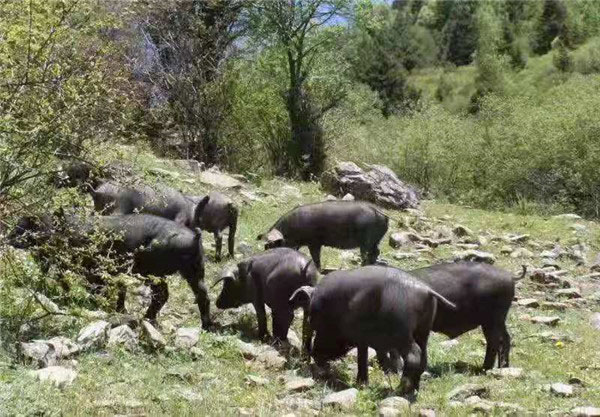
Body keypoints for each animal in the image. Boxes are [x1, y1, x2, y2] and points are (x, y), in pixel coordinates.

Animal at [7, 214, 211, 328]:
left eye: (21, 226)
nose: (7, 237)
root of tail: (194, 237)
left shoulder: (91, 270)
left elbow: (93, 286)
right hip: (195, 270)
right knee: (203, 294)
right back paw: (207, 326)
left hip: (152, 271)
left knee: (162, 293)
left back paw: (147, 318)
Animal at [256, 200, 390, 268]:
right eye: (265, 247)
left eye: (272, 245)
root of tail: (382, 213)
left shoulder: (314, 242)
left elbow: (315, 256)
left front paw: (318, 269)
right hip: (375, 240)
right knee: (376, 252)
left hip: (367, 241)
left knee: (367, 254)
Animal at [290, 264, 454, 392]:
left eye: (312, 318)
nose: (313, 355)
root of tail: (426, 290)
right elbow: (375, 355)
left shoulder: (361, 337)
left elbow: (362, 357)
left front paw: (361, 385)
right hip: (423, 331)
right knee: (424, 356)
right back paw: (415, 389)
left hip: (402, 333)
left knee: (414, 355)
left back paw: (400, 389)